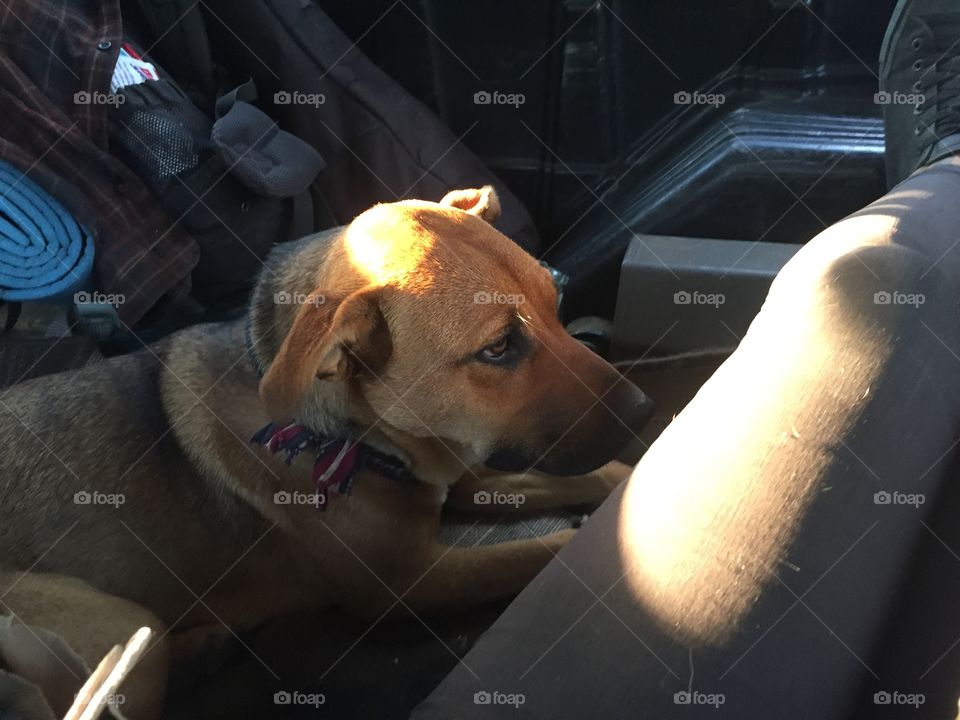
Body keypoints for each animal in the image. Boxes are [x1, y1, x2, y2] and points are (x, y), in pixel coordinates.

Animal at [0, 188, 652, 716]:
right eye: (497, 349)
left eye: (556, 298)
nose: (646, 409)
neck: (361, 436)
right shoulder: (410, 583)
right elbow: (540, 551)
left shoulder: (467, 469)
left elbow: (596, 476)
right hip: (106, 618)